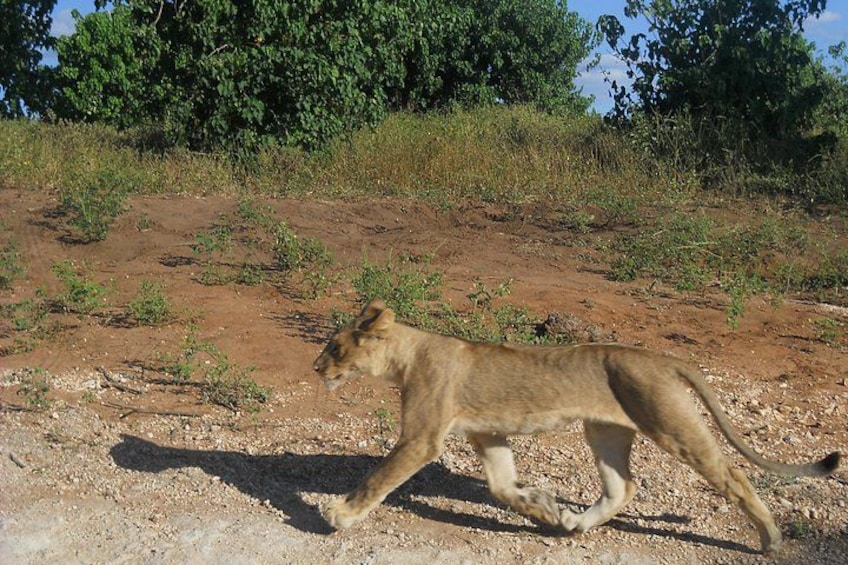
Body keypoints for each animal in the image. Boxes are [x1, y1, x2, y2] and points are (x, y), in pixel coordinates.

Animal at [312, 299, 840, 554]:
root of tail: (661, 357)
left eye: (335, 347)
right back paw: (575, 524)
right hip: (605, 431)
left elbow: (378, 478)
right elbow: (502, 487)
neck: (407, 355)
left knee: (732, 475)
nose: (316, 367)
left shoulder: (422, 438)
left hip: (670, 422)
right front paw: (545, 509)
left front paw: (338, 515)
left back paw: (771, 540)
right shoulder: (488, 433)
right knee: (623, 486)